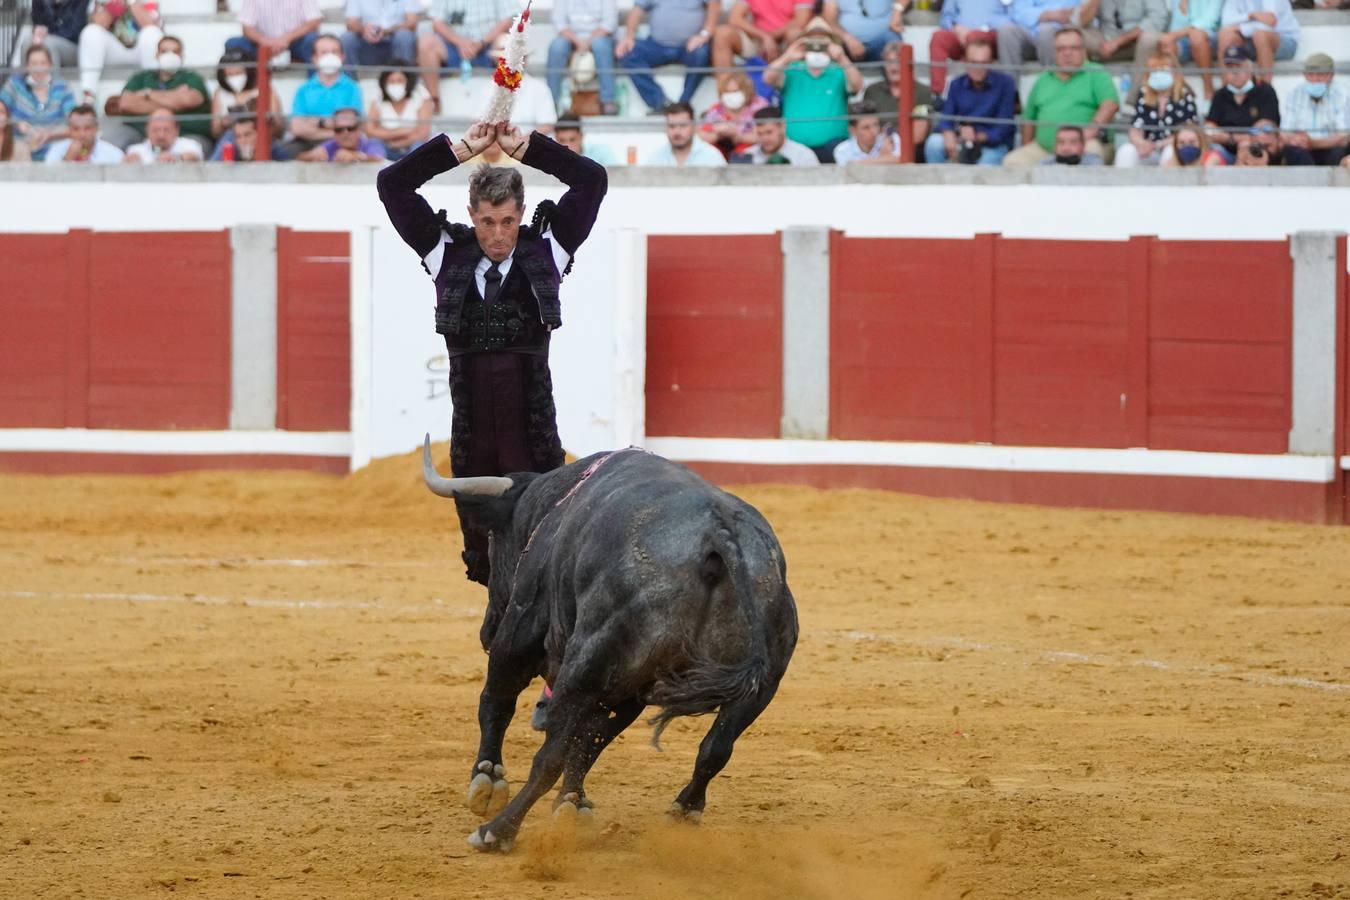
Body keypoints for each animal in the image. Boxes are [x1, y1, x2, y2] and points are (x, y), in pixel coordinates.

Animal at [421, 439, 799, 858]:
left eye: (492, 540)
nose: (486, 630)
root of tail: (721, 535)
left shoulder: (523, 627)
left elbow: (499, 702)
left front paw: (487, 780)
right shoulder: (628, 690)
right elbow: (590, 742)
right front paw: (572, 805)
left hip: (586, 661)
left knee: (549, 754)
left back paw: (497, 830)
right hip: (761, 684)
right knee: (715, 748)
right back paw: (683, 811)